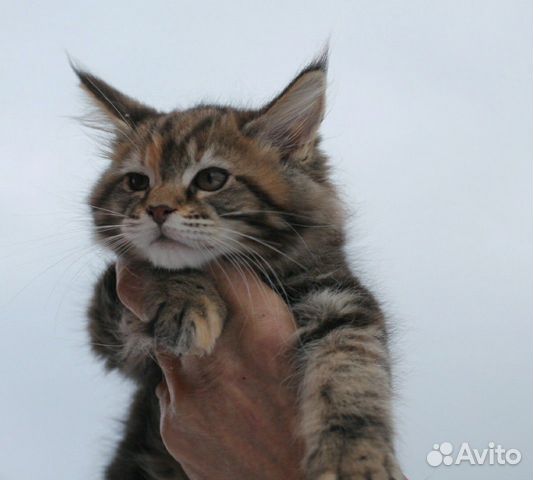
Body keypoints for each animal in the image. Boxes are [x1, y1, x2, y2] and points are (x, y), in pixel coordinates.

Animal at [78, 53, 404, 480]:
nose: (158, 210)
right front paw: (185, 301)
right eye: (136, 182)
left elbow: (352, 374)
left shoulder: (340, 299)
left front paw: (354, 457)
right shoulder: (119, 345)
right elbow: (153, 265)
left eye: (211, 178)